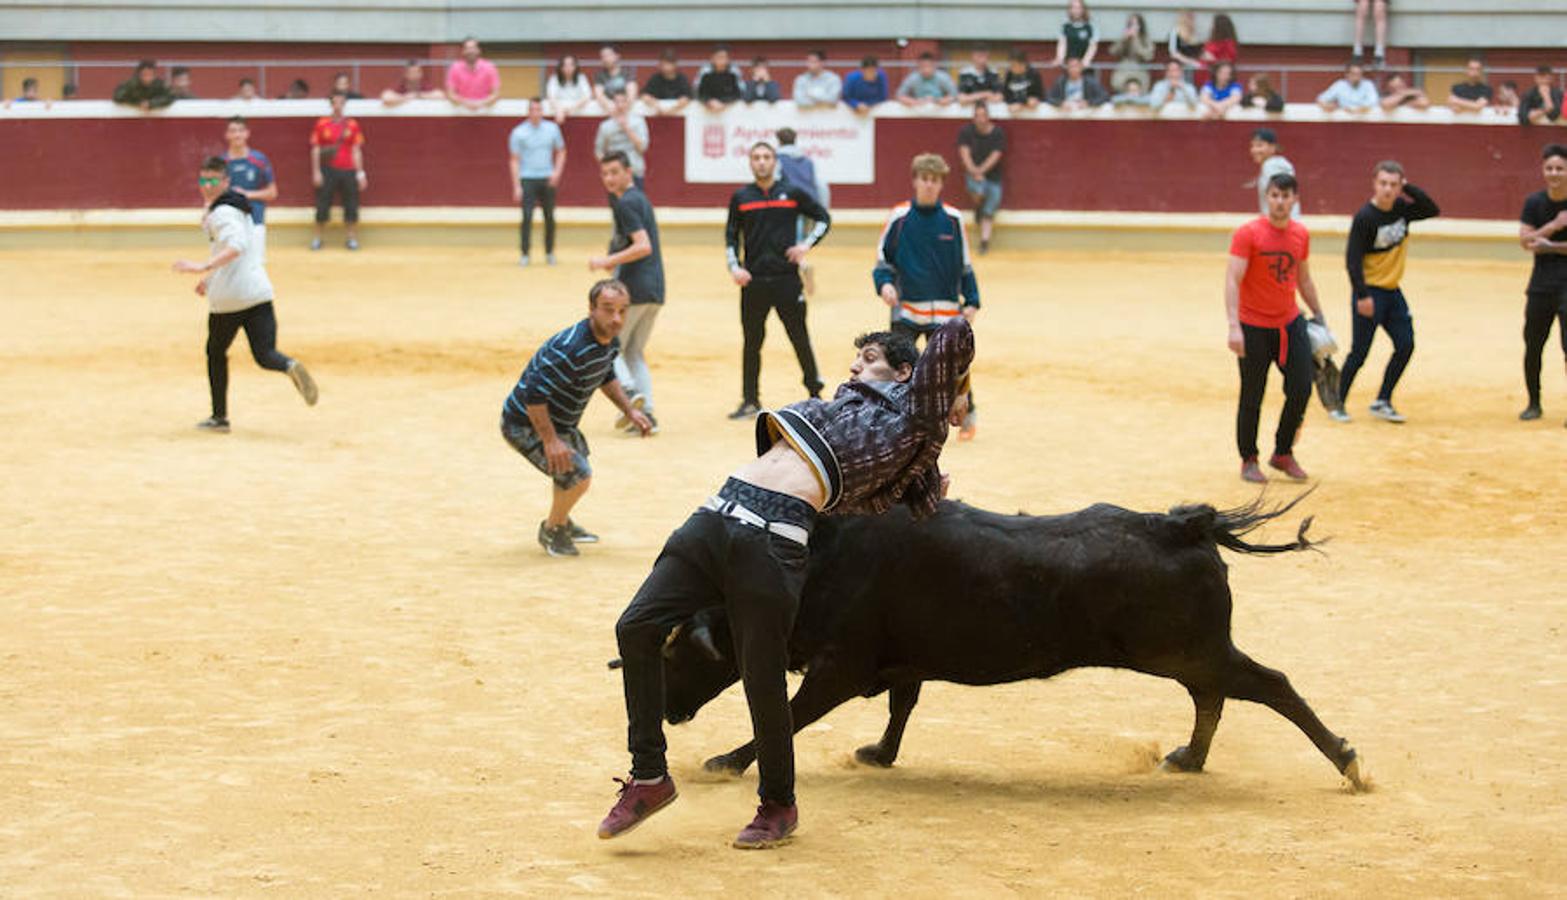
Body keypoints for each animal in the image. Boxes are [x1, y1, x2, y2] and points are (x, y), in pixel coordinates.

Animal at [617, 498, 1366, 793]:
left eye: (677, 648)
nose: (670, 712)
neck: (823, 562)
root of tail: (1183, 524)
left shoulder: (840, 667)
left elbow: (792, 715)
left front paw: (727, 760)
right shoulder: (903, 662)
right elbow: (902, 706)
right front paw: (879, 753)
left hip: (1191, 650)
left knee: (1267, 685)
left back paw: (1348, 760)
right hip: (1187, 655)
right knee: (1214, 696)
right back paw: (1189, 758)